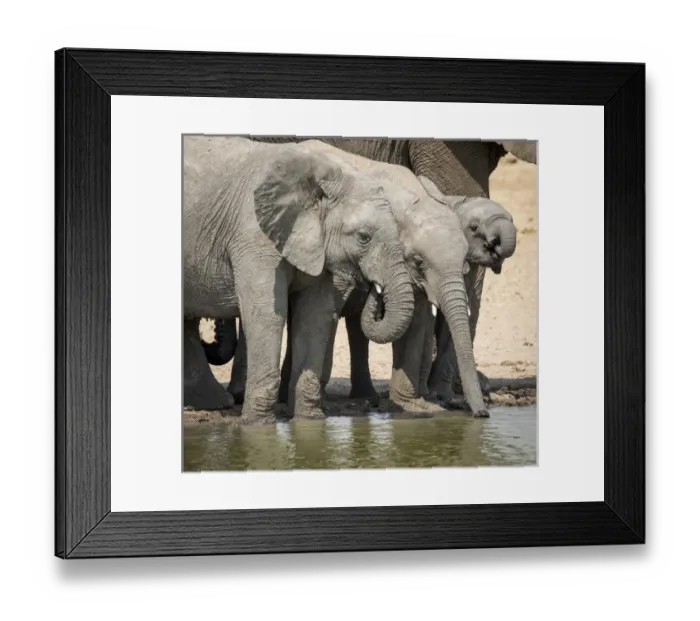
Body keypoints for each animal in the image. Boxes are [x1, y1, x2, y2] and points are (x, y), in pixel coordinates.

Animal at [184, 136, 418, 424]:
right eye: (363, 237)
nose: (373, 287)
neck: (326, 175)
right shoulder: (253, 235)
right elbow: (267, 315)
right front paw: (257, 426)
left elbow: (314, 316)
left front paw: (310, 421)